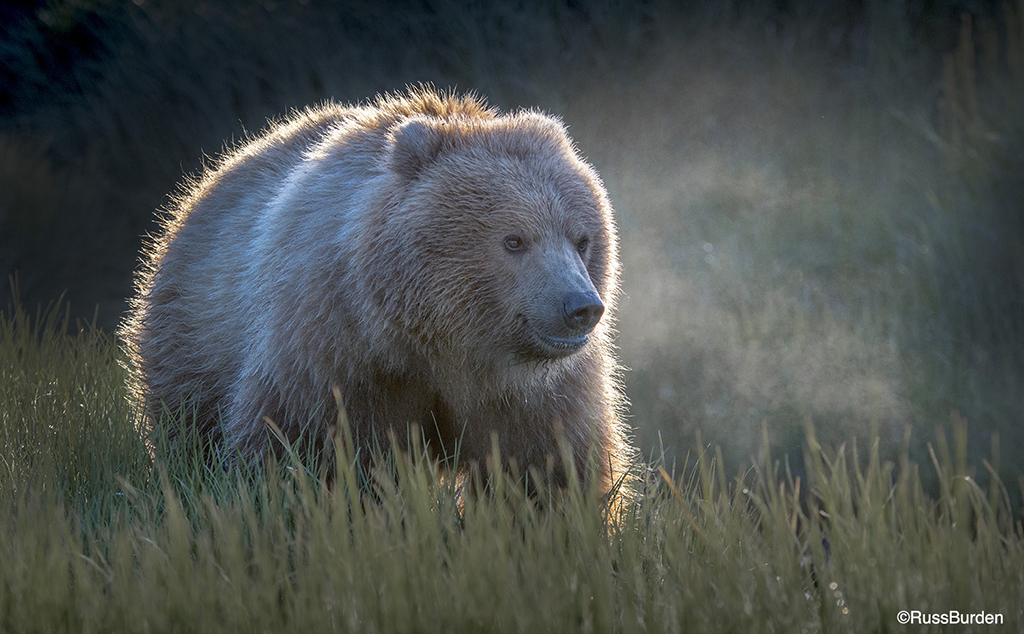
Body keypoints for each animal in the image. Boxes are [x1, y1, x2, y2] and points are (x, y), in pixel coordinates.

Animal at [120, 87, 630, 497]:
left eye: (581, 239)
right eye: (514, 240)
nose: (580, 307)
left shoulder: (537, 395)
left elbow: (548, 471)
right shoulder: (333, 356)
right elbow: (301, 451)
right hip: (195, 333)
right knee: (188, 429)